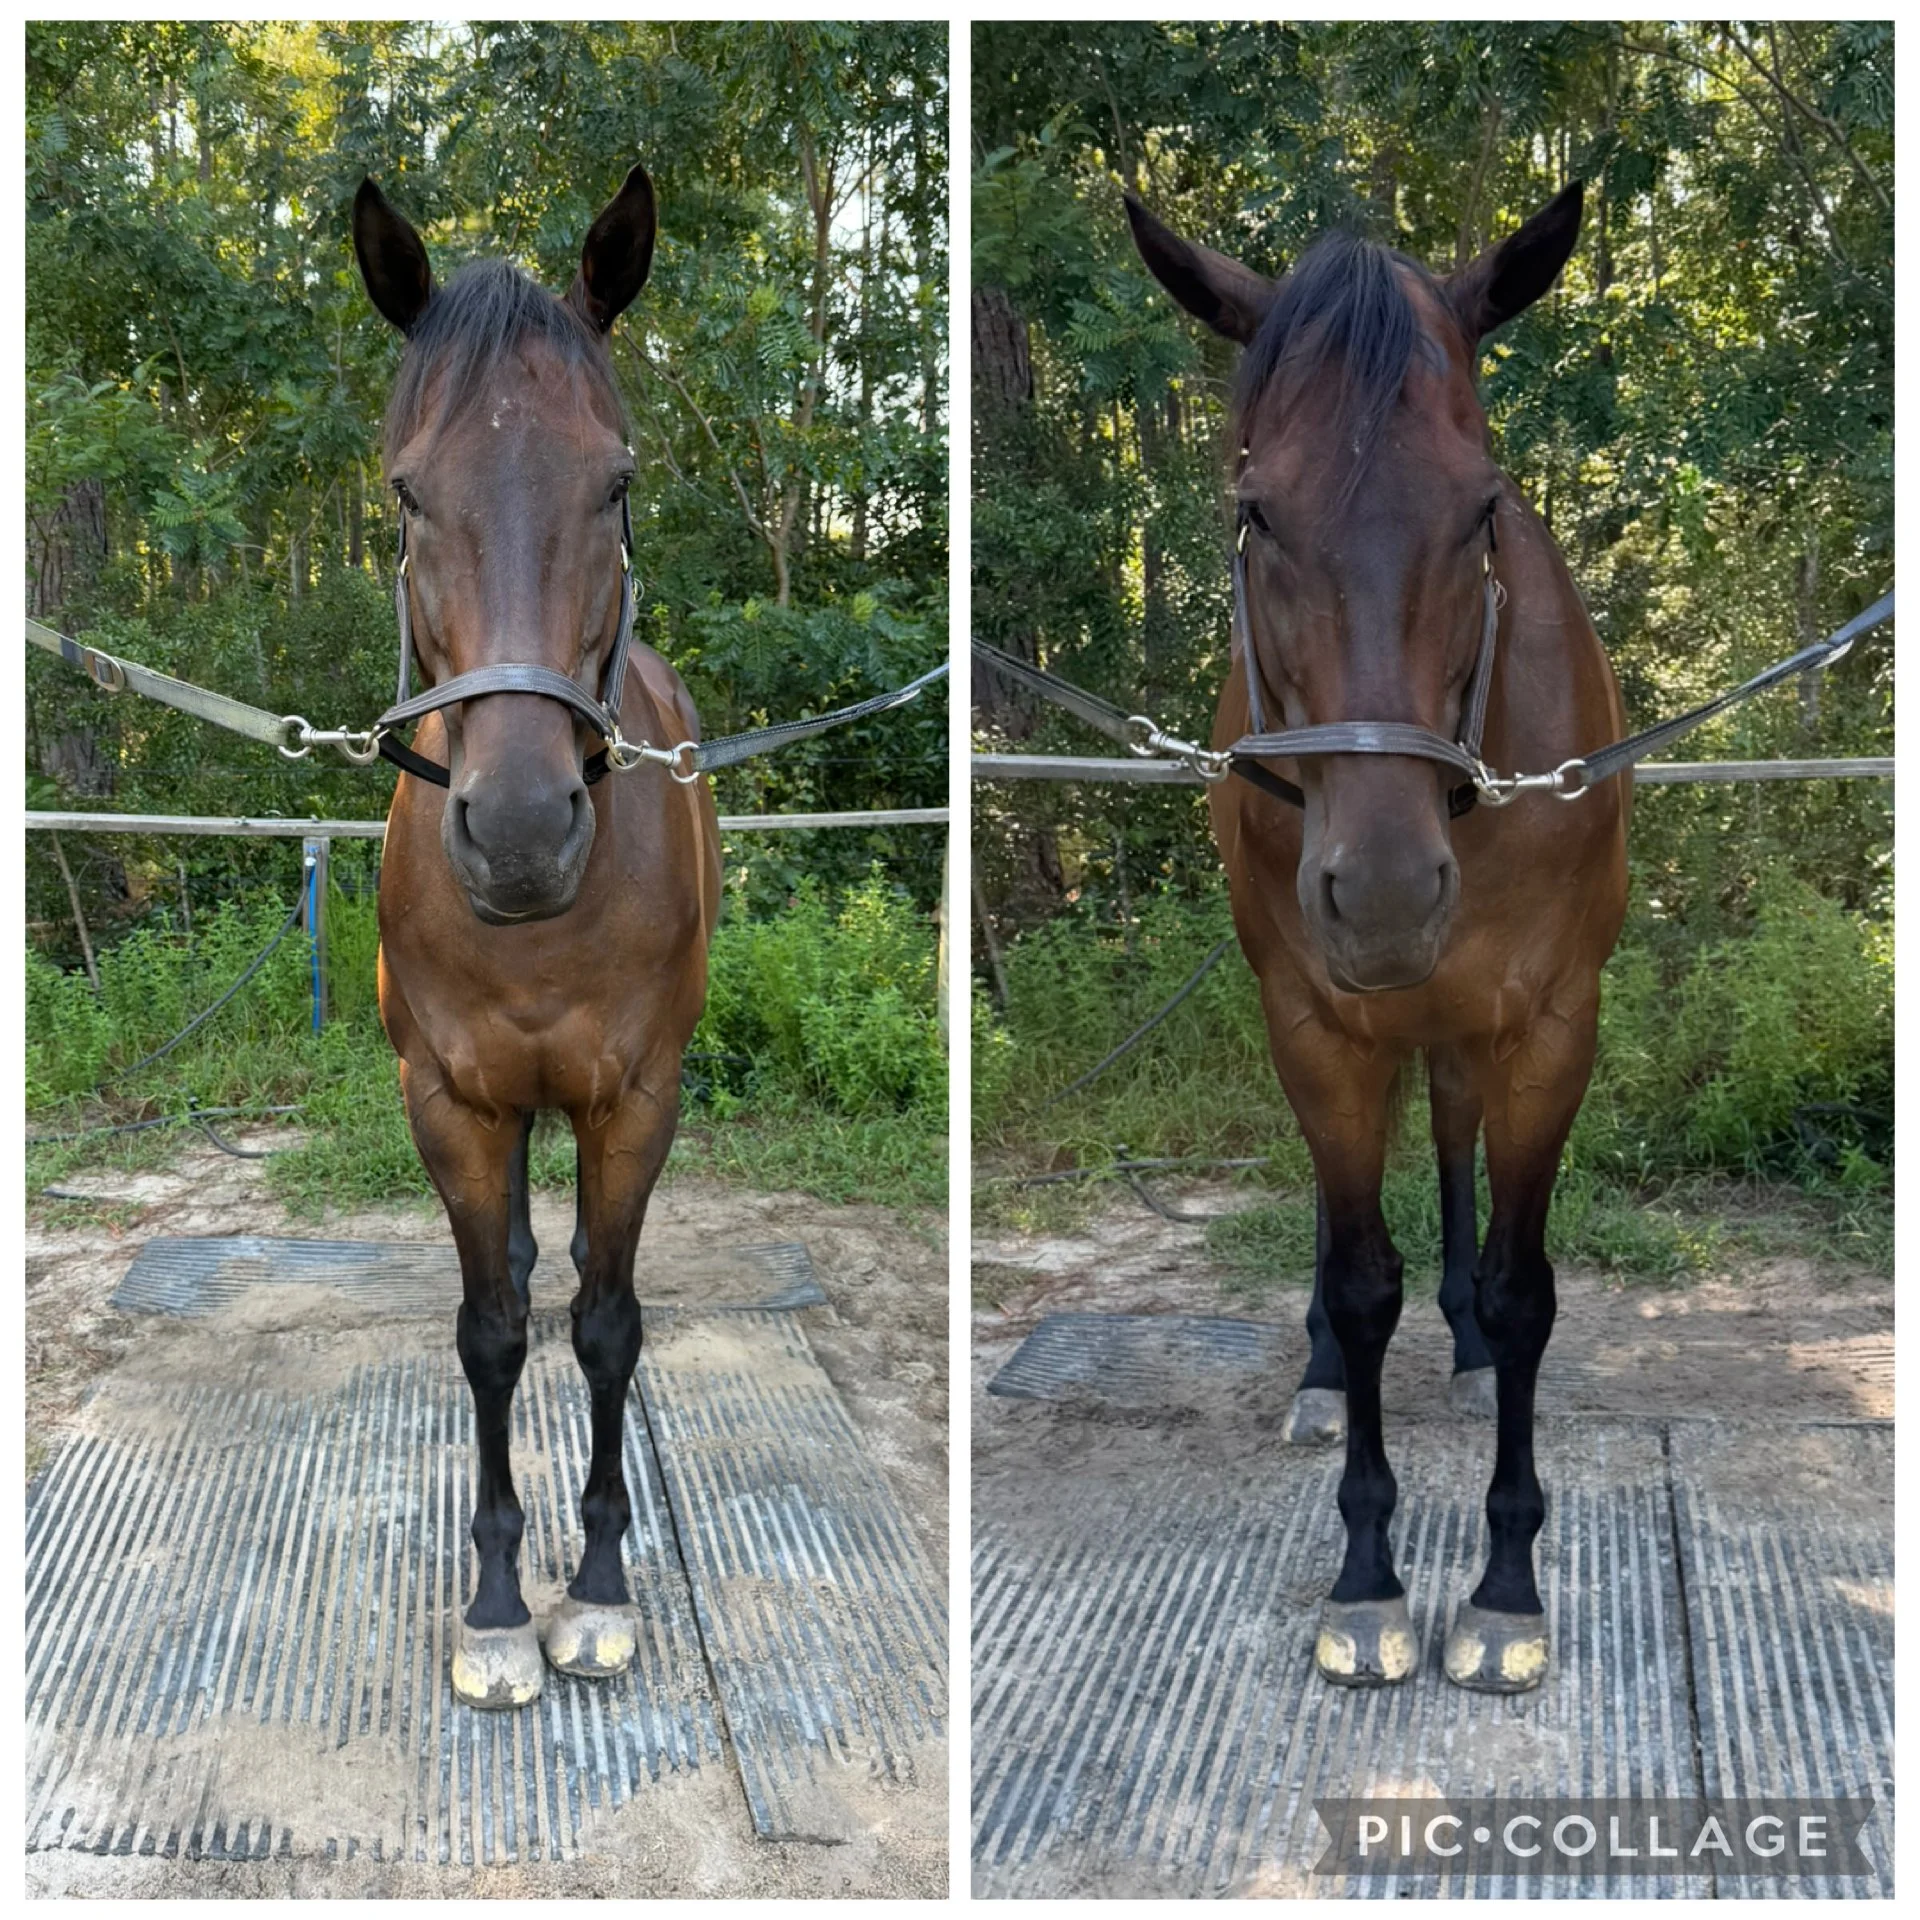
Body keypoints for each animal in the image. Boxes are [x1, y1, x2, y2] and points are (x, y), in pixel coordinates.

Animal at [1126, 182, 1628, 1693]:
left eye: (1482, 509)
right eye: (1257, 514)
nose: (1392, 892)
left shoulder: (1549, 1023)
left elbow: (1524, 1291)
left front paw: (1508, 1589)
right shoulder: (1315, 1020)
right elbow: (1358, 1283)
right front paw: (1367, 1578)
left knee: (1453, 1141)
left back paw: (1459, 1348)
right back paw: (1316, 1379)